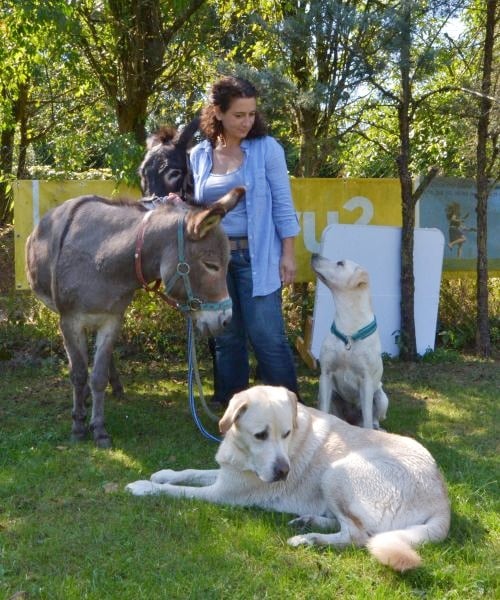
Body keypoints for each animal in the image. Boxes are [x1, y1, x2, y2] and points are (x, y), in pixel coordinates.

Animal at [127, 384, 452, 572]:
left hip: (337, 472)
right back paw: (308, 521)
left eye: (286, 433)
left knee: (358, 536)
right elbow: (190, 473)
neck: (245, 455)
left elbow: (178, 491)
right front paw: (164, 473)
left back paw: (308, 539)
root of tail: (443, 500)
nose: (284, 472)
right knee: (354, 528)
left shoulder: (223, 493)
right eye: (261, 435)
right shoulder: (227, 476)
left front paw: (144, 487)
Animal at [312, 255, 390, 428]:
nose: (314, 255)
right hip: (326, 393)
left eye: (340, 263)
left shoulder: (366, 381)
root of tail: (351, 421)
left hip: (382, 398)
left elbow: (367, 418)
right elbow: (323, 410)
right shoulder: (326, 375)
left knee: (374, 418)